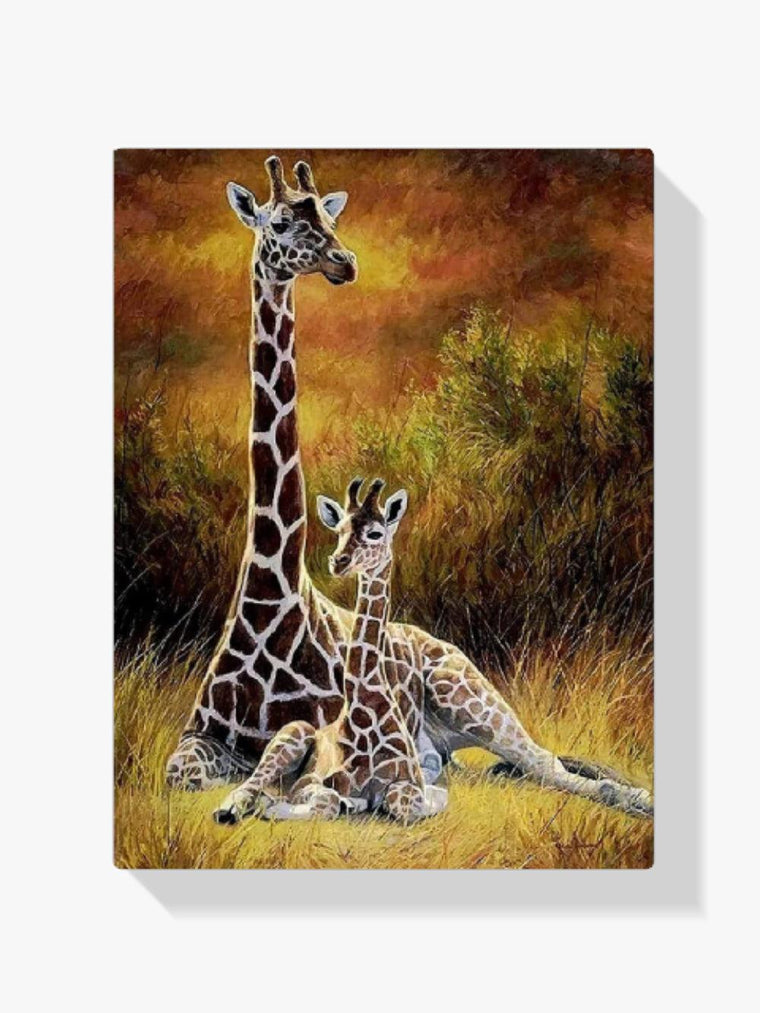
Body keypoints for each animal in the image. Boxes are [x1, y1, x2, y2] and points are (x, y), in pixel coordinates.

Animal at [212, 478, 447, 824]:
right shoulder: (310, 782)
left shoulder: (411, 782)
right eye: (339, 530)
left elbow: (412, 802)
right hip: (293, 733)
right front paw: (277, 807)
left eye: (375, 532)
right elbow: (327, 801)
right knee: (251, 784)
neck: (367, 710)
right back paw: (234, 807)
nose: (338, 561)